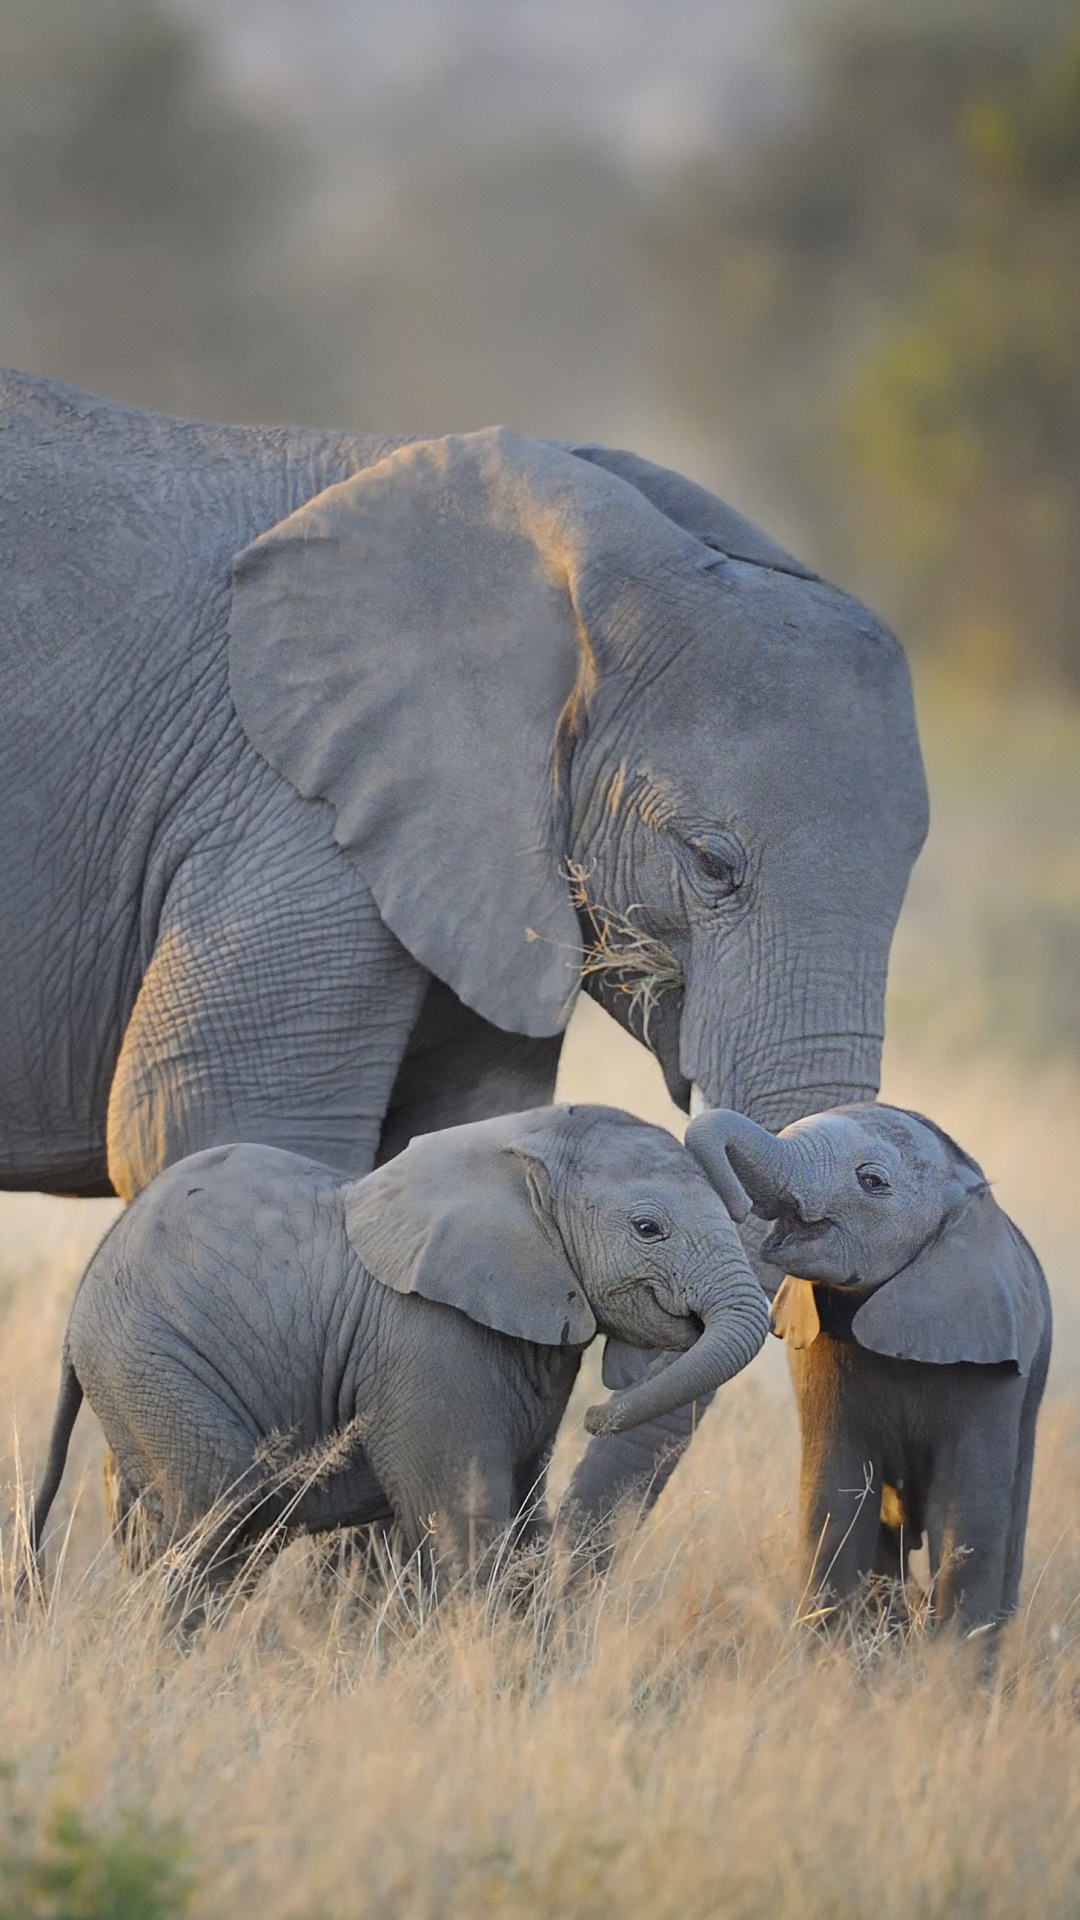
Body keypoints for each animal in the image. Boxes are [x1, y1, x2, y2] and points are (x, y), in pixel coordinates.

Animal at [28, 1105, 770, 1609]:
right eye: (649, 1229)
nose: (597, 1417)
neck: (522, 1149)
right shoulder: (428, 1344)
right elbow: (465, 1522)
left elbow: (525, 1519)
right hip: (151, 1360)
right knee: (219, 1511)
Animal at [685, 1103, 1052, 1635]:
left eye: (872, 1181)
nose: (734, 1206)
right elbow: (835, 1500)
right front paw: (829, 1653)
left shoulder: (993, 1363)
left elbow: (968, 1516)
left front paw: (952, 1662)